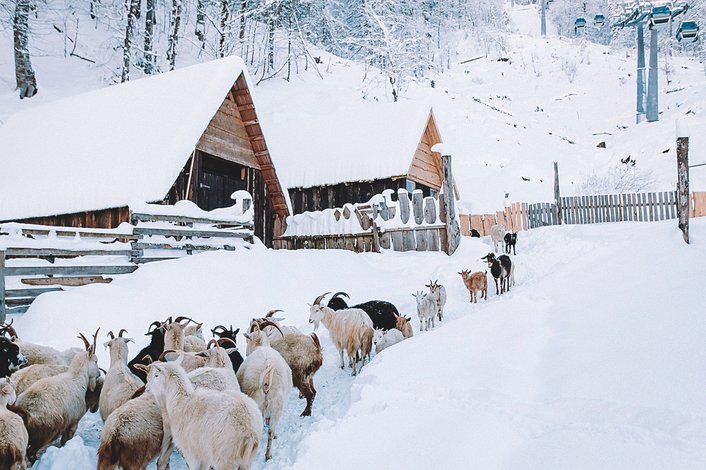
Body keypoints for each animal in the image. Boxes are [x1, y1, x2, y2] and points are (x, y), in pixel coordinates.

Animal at [8, 328, 100, 460]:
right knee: (31, 453)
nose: (99, 374)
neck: (76, 378)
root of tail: (26, 411)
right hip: (46, 433)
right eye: (96, 361)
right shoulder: (73, 421)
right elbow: (66, 440)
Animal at [236, 324, 292, 458]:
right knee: (271, 430)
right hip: (277, 404)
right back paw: (268, 455)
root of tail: (267, 375)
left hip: (260, 404)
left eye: (247, 340)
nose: (246, 353)